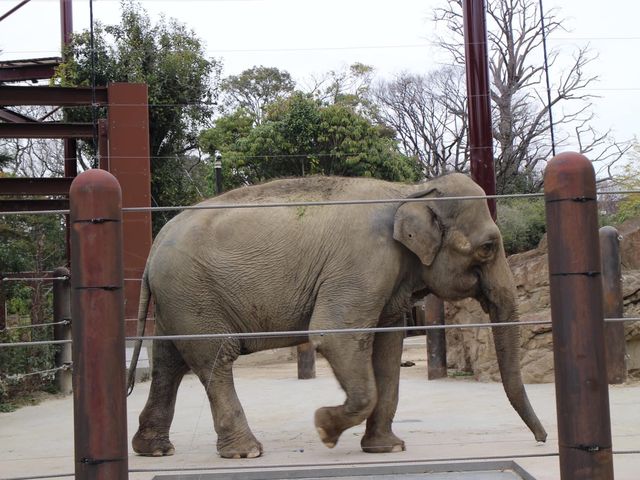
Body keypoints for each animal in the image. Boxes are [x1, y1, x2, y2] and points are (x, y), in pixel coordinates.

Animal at [127, 174, 548, 460]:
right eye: (488, 247)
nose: (543, 440)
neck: (410, 190)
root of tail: (151, 251)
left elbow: (387, 348)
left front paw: (388, 449)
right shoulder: (364, 261)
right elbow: (335, 335)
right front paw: (324, 429)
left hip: (177, 301)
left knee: (169, 364)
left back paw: (155, 450)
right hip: (193, 294)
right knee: (215, 359)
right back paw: (246, 452)